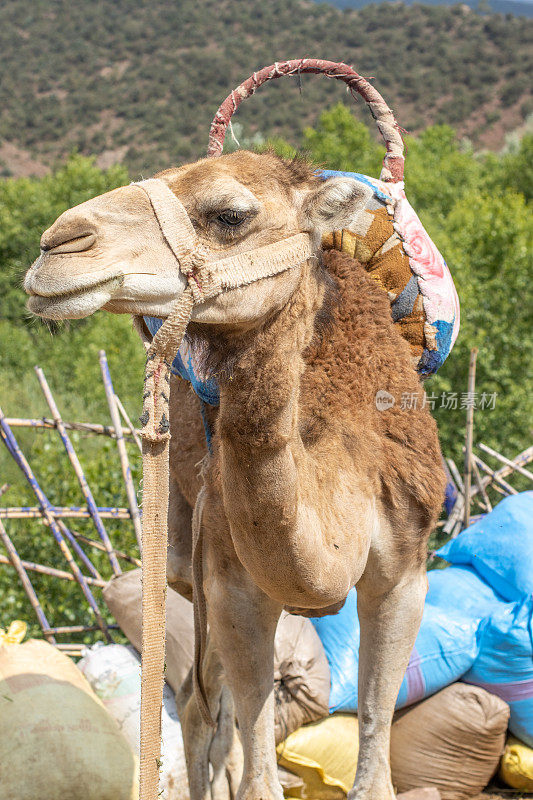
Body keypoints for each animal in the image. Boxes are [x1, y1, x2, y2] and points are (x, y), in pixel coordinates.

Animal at [25, 148, 444, 792]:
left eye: (229, 214)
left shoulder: (404, 573)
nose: (58, 245)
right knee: (201, 707)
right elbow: (259, 773)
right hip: (194, 572)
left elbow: (375, 750)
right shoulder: (232, 583)